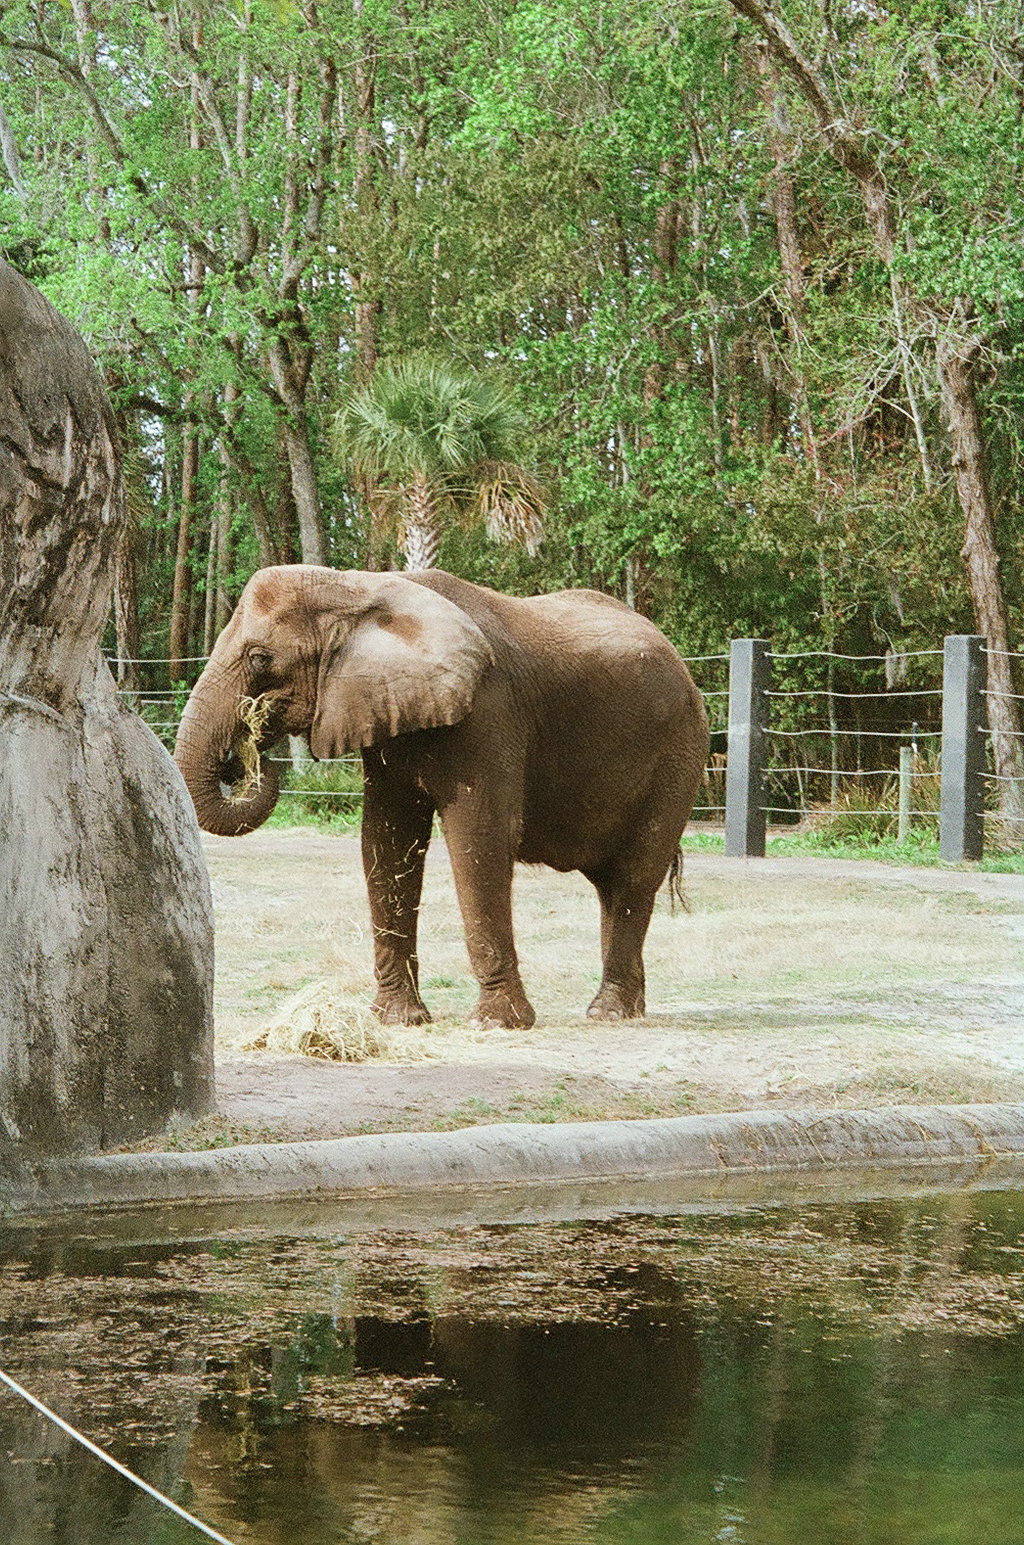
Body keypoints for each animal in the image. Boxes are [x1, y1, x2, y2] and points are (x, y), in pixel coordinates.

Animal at [174, 566, 708, 1029]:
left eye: (259, 658)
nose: (247, 754)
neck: (358, 586)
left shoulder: (489, 712)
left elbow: (480, 837)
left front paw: (497, 1024)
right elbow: (386, 840)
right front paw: (398, 1020)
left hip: (680, 753)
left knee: (635, 876)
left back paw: (608, 1013)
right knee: (611, 886)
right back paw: (625, 1009)